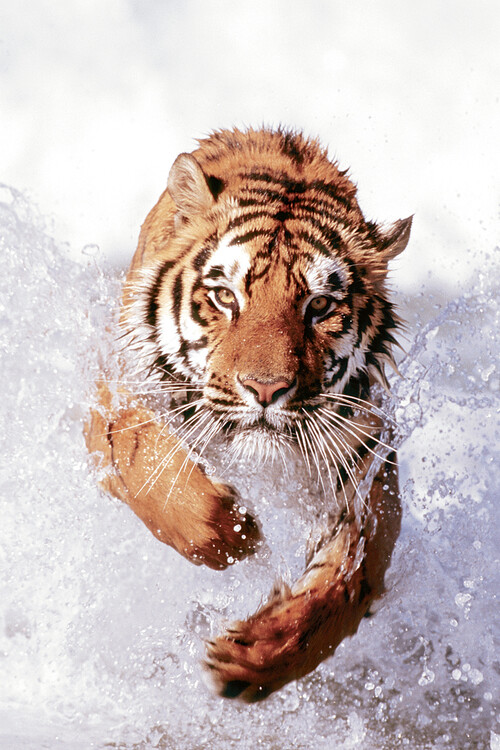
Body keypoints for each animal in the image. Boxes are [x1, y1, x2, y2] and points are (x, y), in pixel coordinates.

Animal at [85, 127, 411, 702]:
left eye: (319, 306)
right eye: (224, 296)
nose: (266, 389)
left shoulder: (365, 456)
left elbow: (346, 579)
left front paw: (255, 657)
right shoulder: (115, 395)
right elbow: (148, 464)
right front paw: (234, 534)